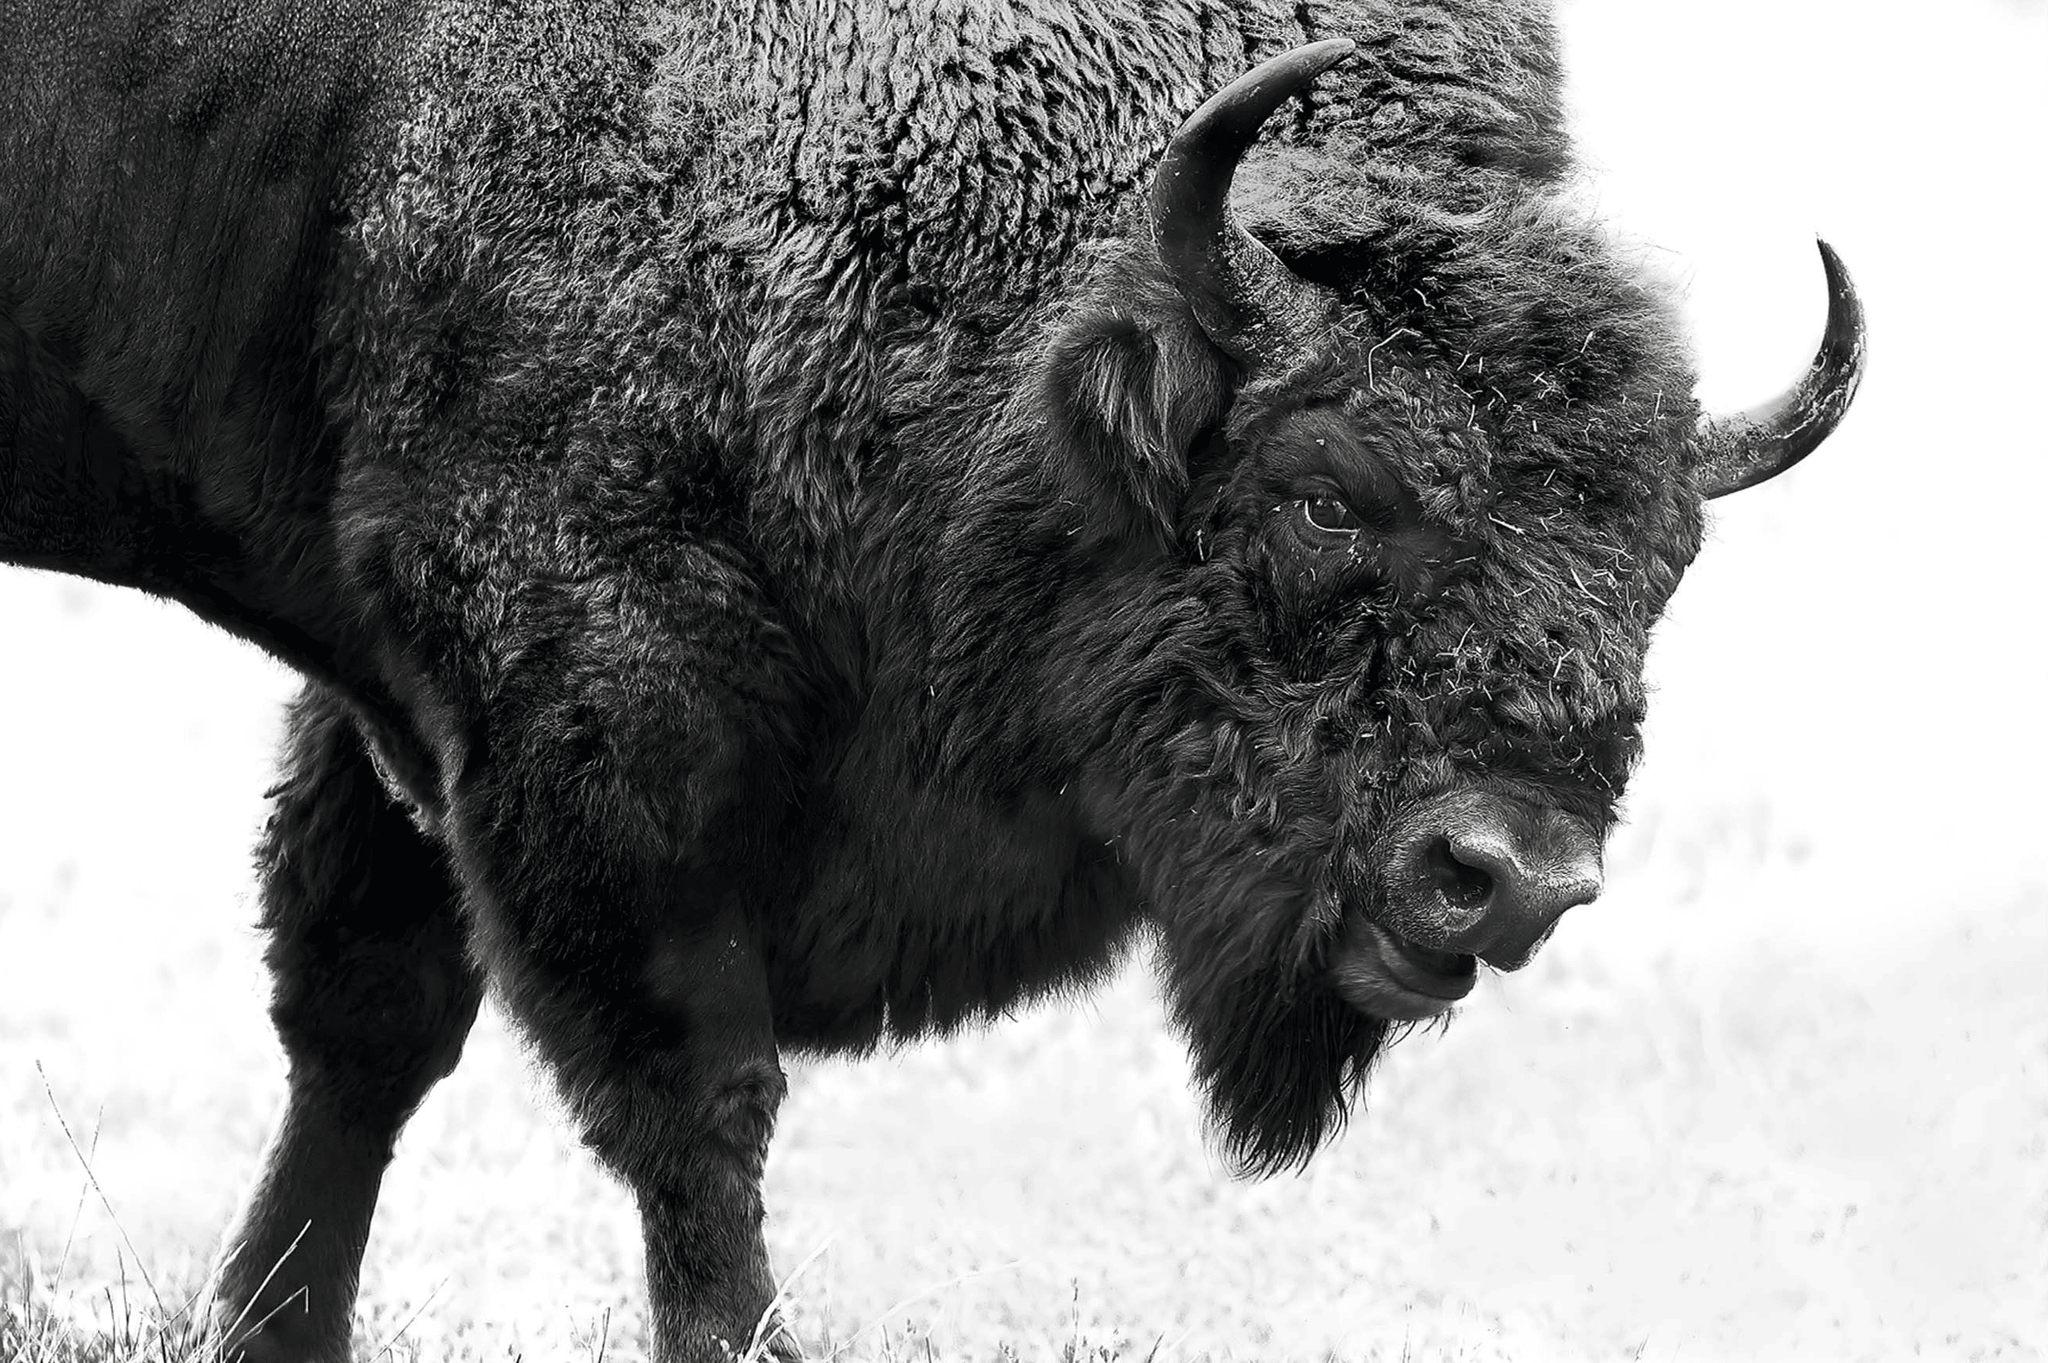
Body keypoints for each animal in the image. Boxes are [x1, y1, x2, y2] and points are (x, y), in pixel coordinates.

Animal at [0, 0, 1863, 1358]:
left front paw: (269, 1329)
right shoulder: (584, 704)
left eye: (1665, 561)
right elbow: (691, 1098)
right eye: (1330, 488)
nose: (1507, 876)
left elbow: (366, 1011)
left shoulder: (405, 701)